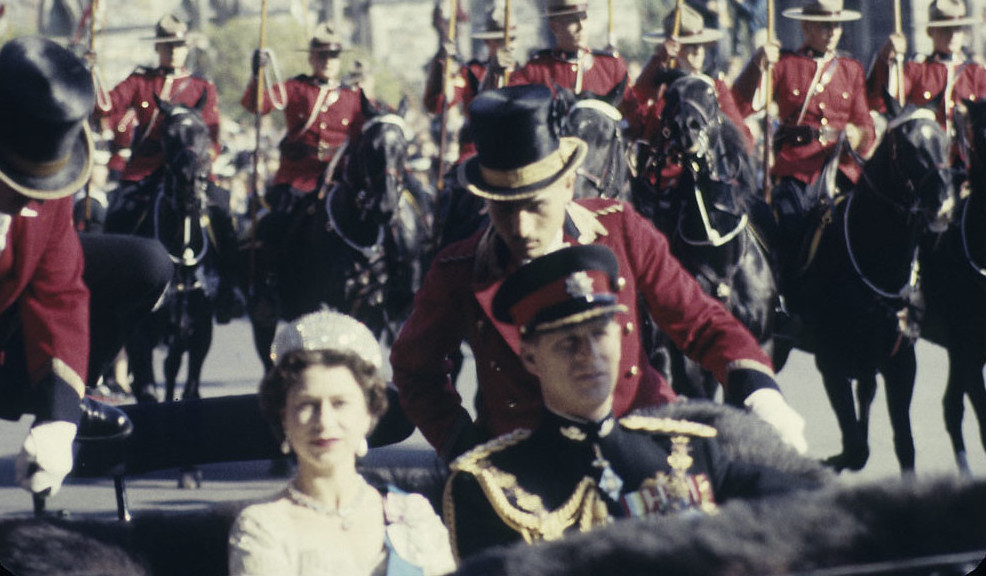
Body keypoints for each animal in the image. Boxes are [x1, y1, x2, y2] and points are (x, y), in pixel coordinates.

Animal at [106, 97, 238, 402]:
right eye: (168, 136)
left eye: (205, 133)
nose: (190, 180)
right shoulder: (139, 336)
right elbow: (147, 392)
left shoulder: (199, 333)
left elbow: (188, 389)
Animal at [246, 95, 430, 368]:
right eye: (370, 148)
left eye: (404, 148)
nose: (386, 206)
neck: (361, 232)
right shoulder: (328, 304)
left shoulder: (376, 308)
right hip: (269, 310)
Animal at [632, 75, 776, 400]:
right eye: (672, 97)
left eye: (711, 95)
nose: (686, 125)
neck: (721, 257)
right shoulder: (696, 364)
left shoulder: (762, 344)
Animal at [776, 104, 952, 472]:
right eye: (908, 146)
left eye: (945, 141)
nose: (944, 206)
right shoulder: (830, 360)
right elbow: (857, 450)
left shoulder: (901, 362)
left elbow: (904, 446)